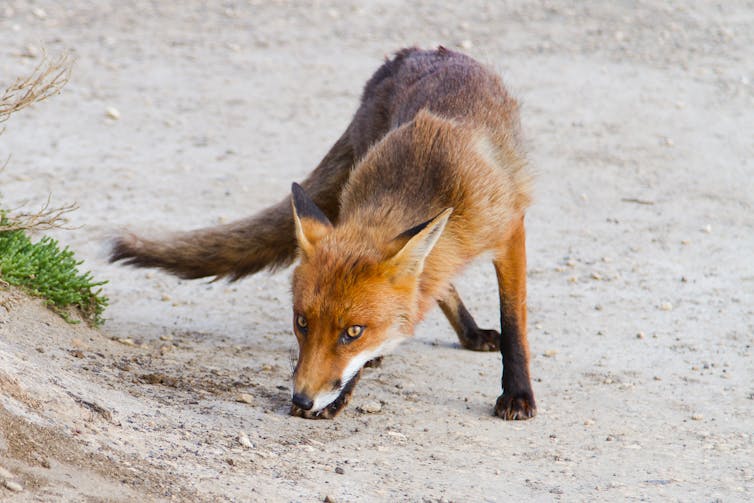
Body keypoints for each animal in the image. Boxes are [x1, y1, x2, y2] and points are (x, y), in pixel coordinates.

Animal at [111, 47, 536, 422]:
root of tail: (416, 51)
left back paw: (470, 335)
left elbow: (514, 320)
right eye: (301, 322)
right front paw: (339, 395)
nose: (301, 398)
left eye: (353, 331)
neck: (426, 181)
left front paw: (517, 393)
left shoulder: (510, 230)